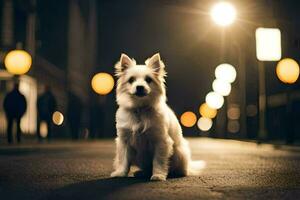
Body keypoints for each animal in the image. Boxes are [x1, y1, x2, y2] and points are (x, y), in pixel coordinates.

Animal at [110, 53, 204, 181]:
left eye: (148, 80)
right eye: (131, 80)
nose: (139, 87)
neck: (140, 109)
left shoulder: (161, 142)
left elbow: (158, 161)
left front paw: (158, 175)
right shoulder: (124, 141)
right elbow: (123, 160)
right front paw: (120, 173)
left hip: (179, 154)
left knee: (181, 170)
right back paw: (141, 173)